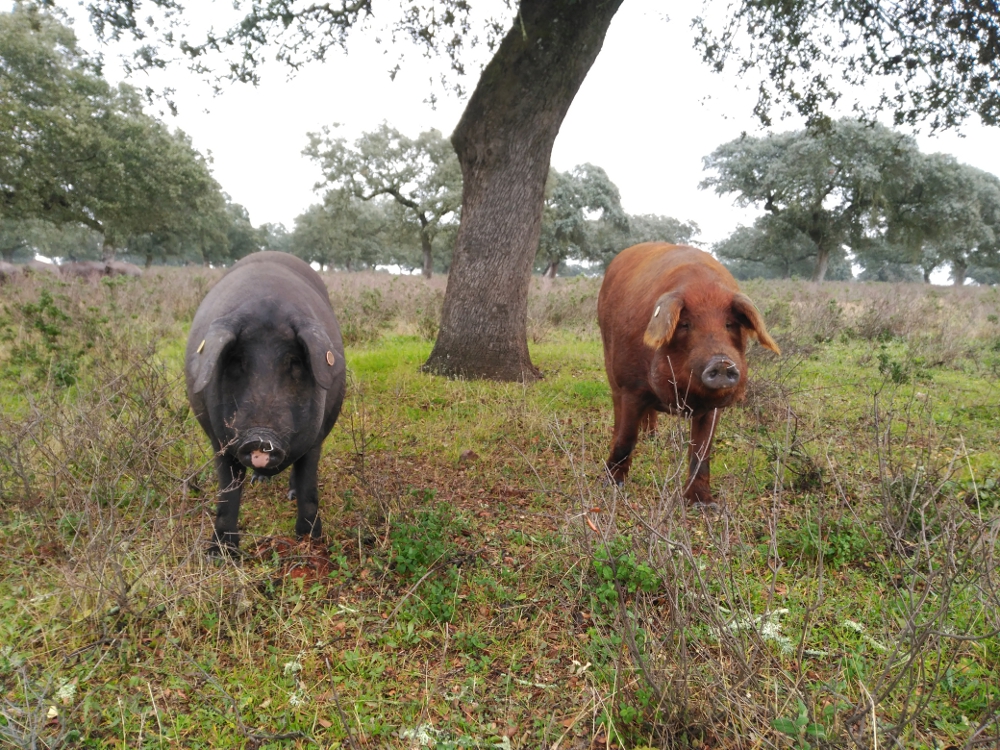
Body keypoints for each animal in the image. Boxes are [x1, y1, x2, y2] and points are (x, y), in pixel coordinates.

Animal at [186, 253, 346, 552]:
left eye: (294, 362)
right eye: (237, 361)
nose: (259, 438)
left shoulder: (315, 437)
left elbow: (308, 486)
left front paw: (310, 541)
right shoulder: (219, 440)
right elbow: (227, 493)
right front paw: (218, 554)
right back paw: (258, 481)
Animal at [592, 244, 780, 508]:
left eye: (729, 324)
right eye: (685, 325)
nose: (722, 362)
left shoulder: (713, 406)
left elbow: (701, 451)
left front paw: (704, 504)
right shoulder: (632, 386)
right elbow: (626, 437)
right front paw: (611, 486)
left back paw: (653, 438)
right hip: (610, 359)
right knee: (617, 407)